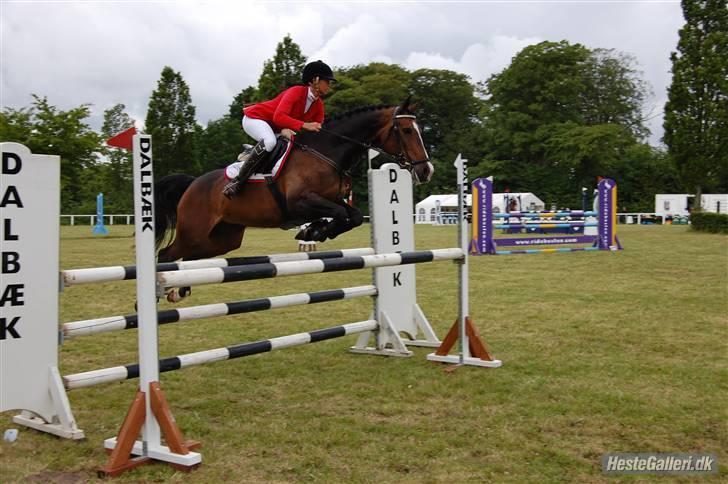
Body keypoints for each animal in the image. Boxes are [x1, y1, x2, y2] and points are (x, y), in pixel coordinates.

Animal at [154, 99, 432, 298]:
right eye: (406, 130)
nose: (426, 171)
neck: (327, 152)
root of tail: (192, 183)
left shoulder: (332, 199)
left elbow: (351, 215)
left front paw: (316, 231)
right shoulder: (300, 202)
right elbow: (340, 214)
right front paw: (314, 231)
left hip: (222, 239)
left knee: (190, 258)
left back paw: (179, 290)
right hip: (193, 230)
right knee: (166, 255)